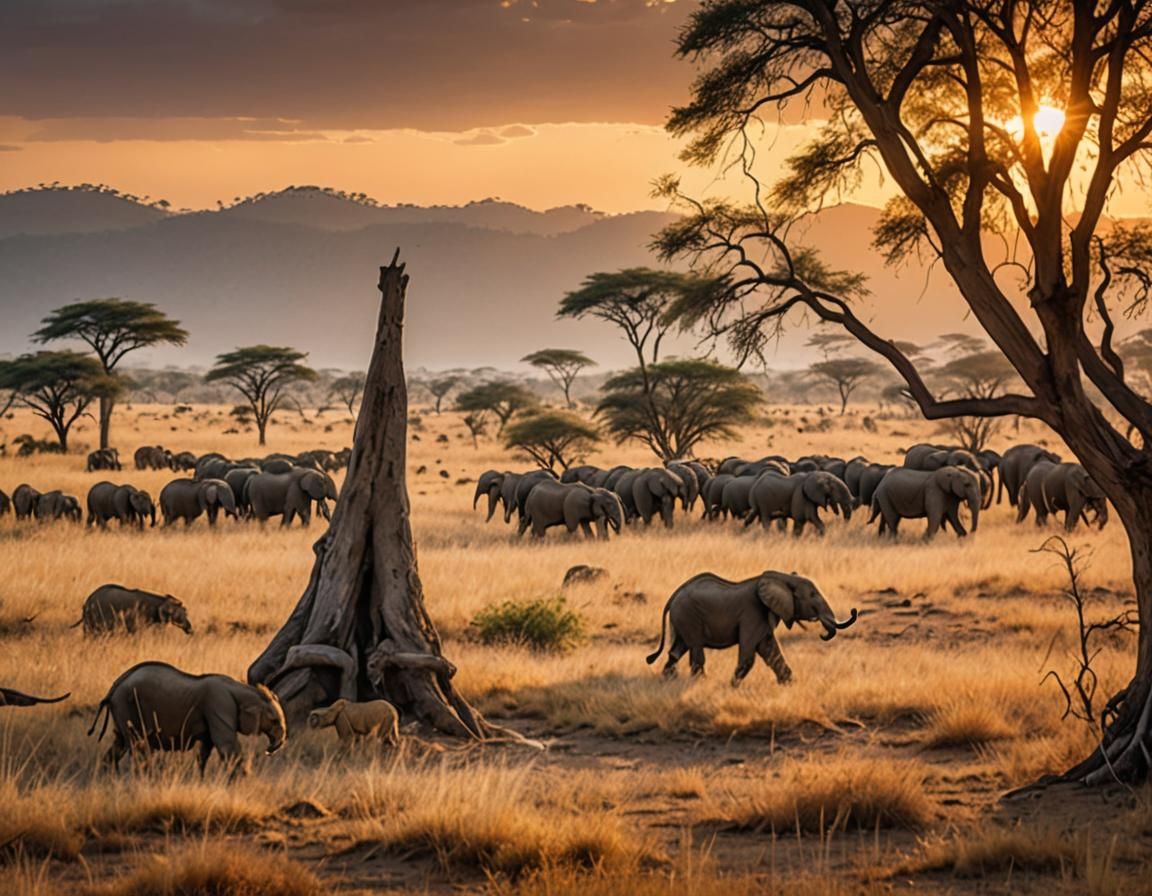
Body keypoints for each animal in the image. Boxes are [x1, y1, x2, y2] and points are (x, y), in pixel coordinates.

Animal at [88, 661, 286, 776]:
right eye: (274, 721)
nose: (269, 750)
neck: (241, 689)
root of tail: (113, 688)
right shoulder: (219, 704)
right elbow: (227, 744)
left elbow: (206, 749)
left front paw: (201, 780)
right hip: (127, 706)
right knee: (139, 746)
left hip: (123, 711)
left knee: (119, 743)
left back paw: (109, 778)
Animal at [645, 571, 858, 685]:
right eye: (813, 596)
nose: (854, 610)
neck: (782, 577)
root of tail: (674, 595)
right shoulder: (752, 613)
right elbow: (749, 656)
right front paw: (731, 688)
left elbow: (770, 651)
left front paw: (789, 685)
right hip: (689, 617)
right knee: (696, 652)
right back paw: (700, 682)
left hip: (683, 619)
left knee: (676, 651)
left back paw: (668, 681)